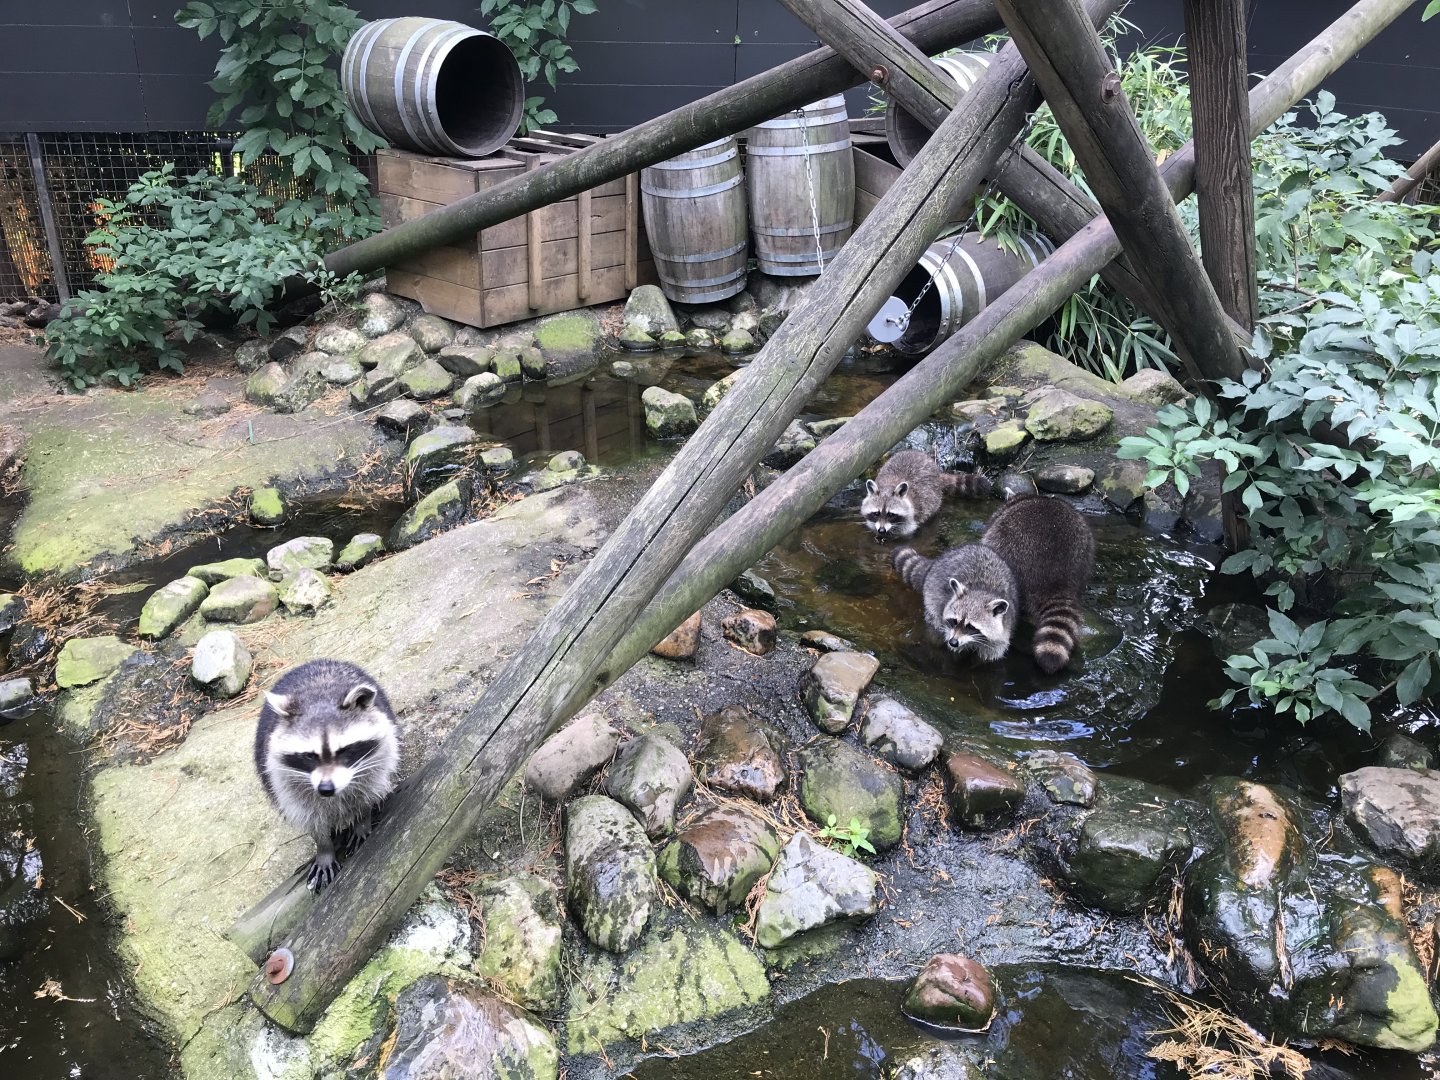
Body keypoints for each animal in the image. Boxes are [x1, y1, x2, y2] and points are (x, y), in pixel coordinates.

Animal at [254, 659, 400, 890]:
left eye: (344, 750)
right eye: (309, 756)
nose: (326, 789)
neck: (319, 696)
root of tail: (314, 661)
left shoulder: (377, 761)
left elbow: (365, 794)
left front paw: (362, 821)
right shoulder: (284, 779)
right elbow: (311, 817)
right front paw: (324, 849)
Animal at [861, 450, 991, 540]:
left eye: (891, 514)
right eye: (876, 513)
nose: (882, 530)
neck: (888, 487)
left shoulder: (911, 518)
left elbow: (907, 531)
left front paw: (892, 537)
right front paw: (879, 534)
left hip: (935, 497)